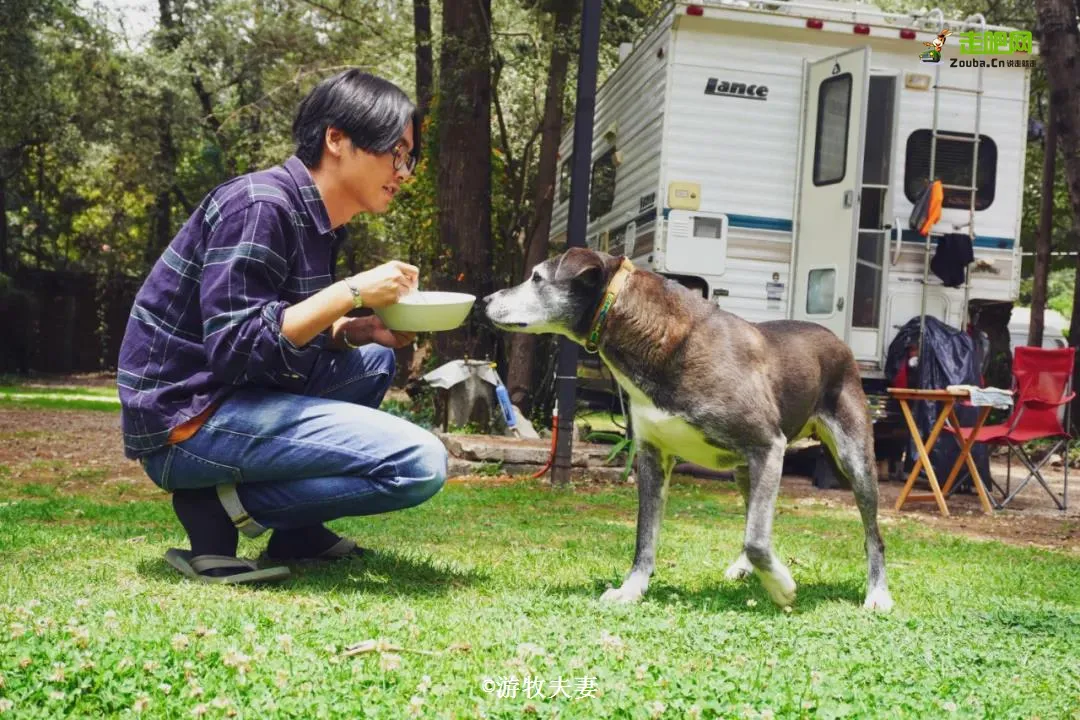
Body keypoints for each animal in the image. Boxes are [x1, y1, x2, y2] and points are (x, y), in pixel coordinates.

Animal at [486, 249, 889, 613]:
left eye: (537, 277)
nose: (487, 300)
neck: (661, 337)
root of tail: (838, 342)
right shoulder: (653, 457)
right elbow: (645, 537)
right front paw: (631, 590)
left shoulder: (768, 445)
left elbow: (757, 540)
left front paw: (782, 588)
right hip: (747, 471)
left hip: (852, 458)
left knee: (872, 536)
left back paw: (877, 594)